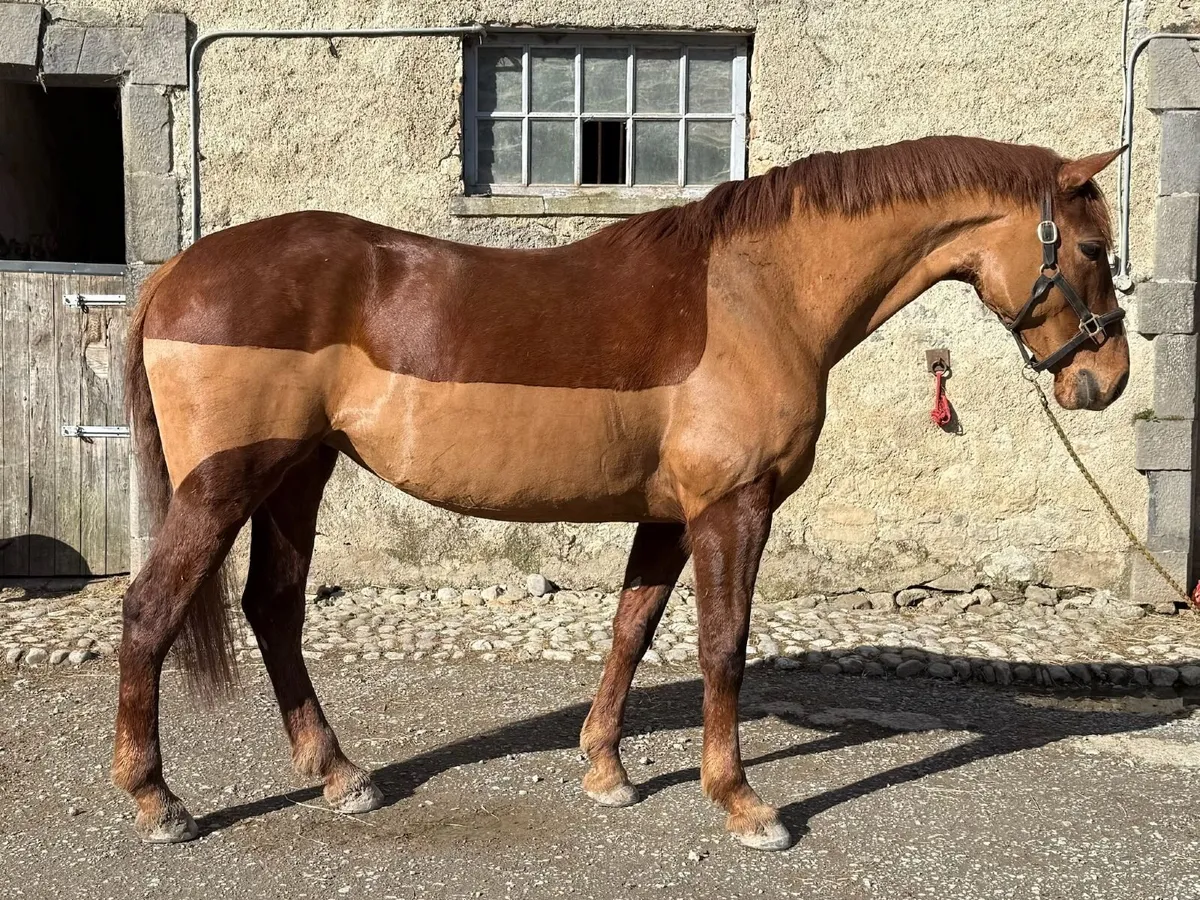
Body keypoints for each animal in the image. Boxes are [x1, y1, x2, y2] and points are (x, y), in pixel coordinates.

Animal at [112, 136, 1129, 851]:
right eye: (1090, 245)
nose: (1107, 380)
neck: (759, 294)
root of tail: (177, 274)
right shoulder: (732, 508)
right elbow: (723, 649)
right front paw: (743, 802)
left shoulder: (668, 515)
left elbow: (632, 631)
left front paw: (607, 771)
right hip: (227, 483)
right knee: (151, 610)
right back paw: (158, 799)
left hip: (299, 473)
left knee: (274, 609)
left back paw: (339, 774)